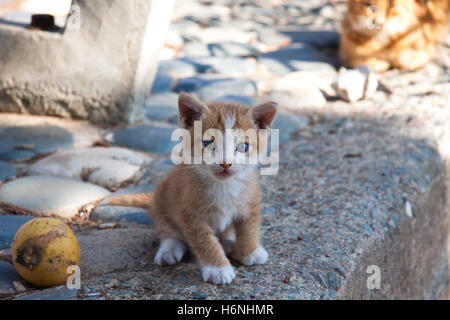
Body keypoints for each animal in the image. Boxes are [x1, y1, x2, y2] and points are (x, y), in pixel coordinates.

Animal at [109, 92, 278, 284]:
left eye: (244, 147)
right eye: (208, 144)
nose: (225, 163)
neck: (223, 186)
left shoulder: (251, 200)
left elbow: (249, 227)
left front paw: (249, 250)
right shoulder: (190, 213)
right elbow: (205, 241)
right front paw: (218, 268)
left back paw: (229, 243)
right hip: (162, 199)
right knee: (167, 231)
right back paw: (169, 250)